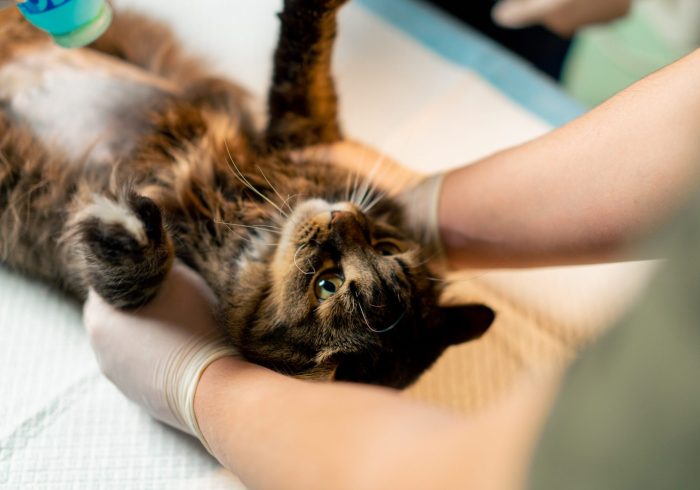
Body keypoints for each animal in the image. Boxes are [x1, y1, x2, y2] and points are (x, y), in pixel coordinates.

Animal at [0, 0, 492, 390]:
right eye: (385, 247)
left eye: (326, 285)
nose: (342, 218)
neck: (244, 212)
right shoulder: (301, 131)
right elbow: (306, 48)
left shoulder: (93, 275)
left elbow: (136, 277)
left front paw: (127, 230)